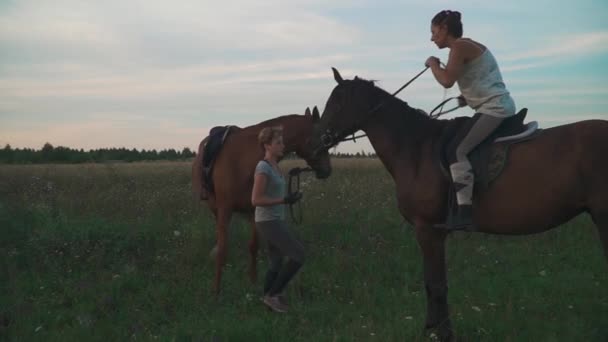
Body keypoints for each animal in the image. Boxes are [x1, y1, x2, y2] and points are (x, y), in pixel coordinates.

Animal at [191, 109, 330, 294]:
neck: (243, 161)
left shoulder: (254, 209)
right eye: (322, 138)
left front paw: (253, 281)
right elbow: (222, 250)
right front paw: (216, 290)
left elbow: (253, 246)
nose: (327, 170)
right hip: (215, 207)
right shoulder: (225, 209)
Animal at [308, 68, 608, 340]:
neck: (416, 148)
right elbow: (432, 283)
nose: (315, 144)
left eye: (336, 102)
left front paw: (443, 333)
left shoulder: (428, 230)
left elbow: (436, 284)